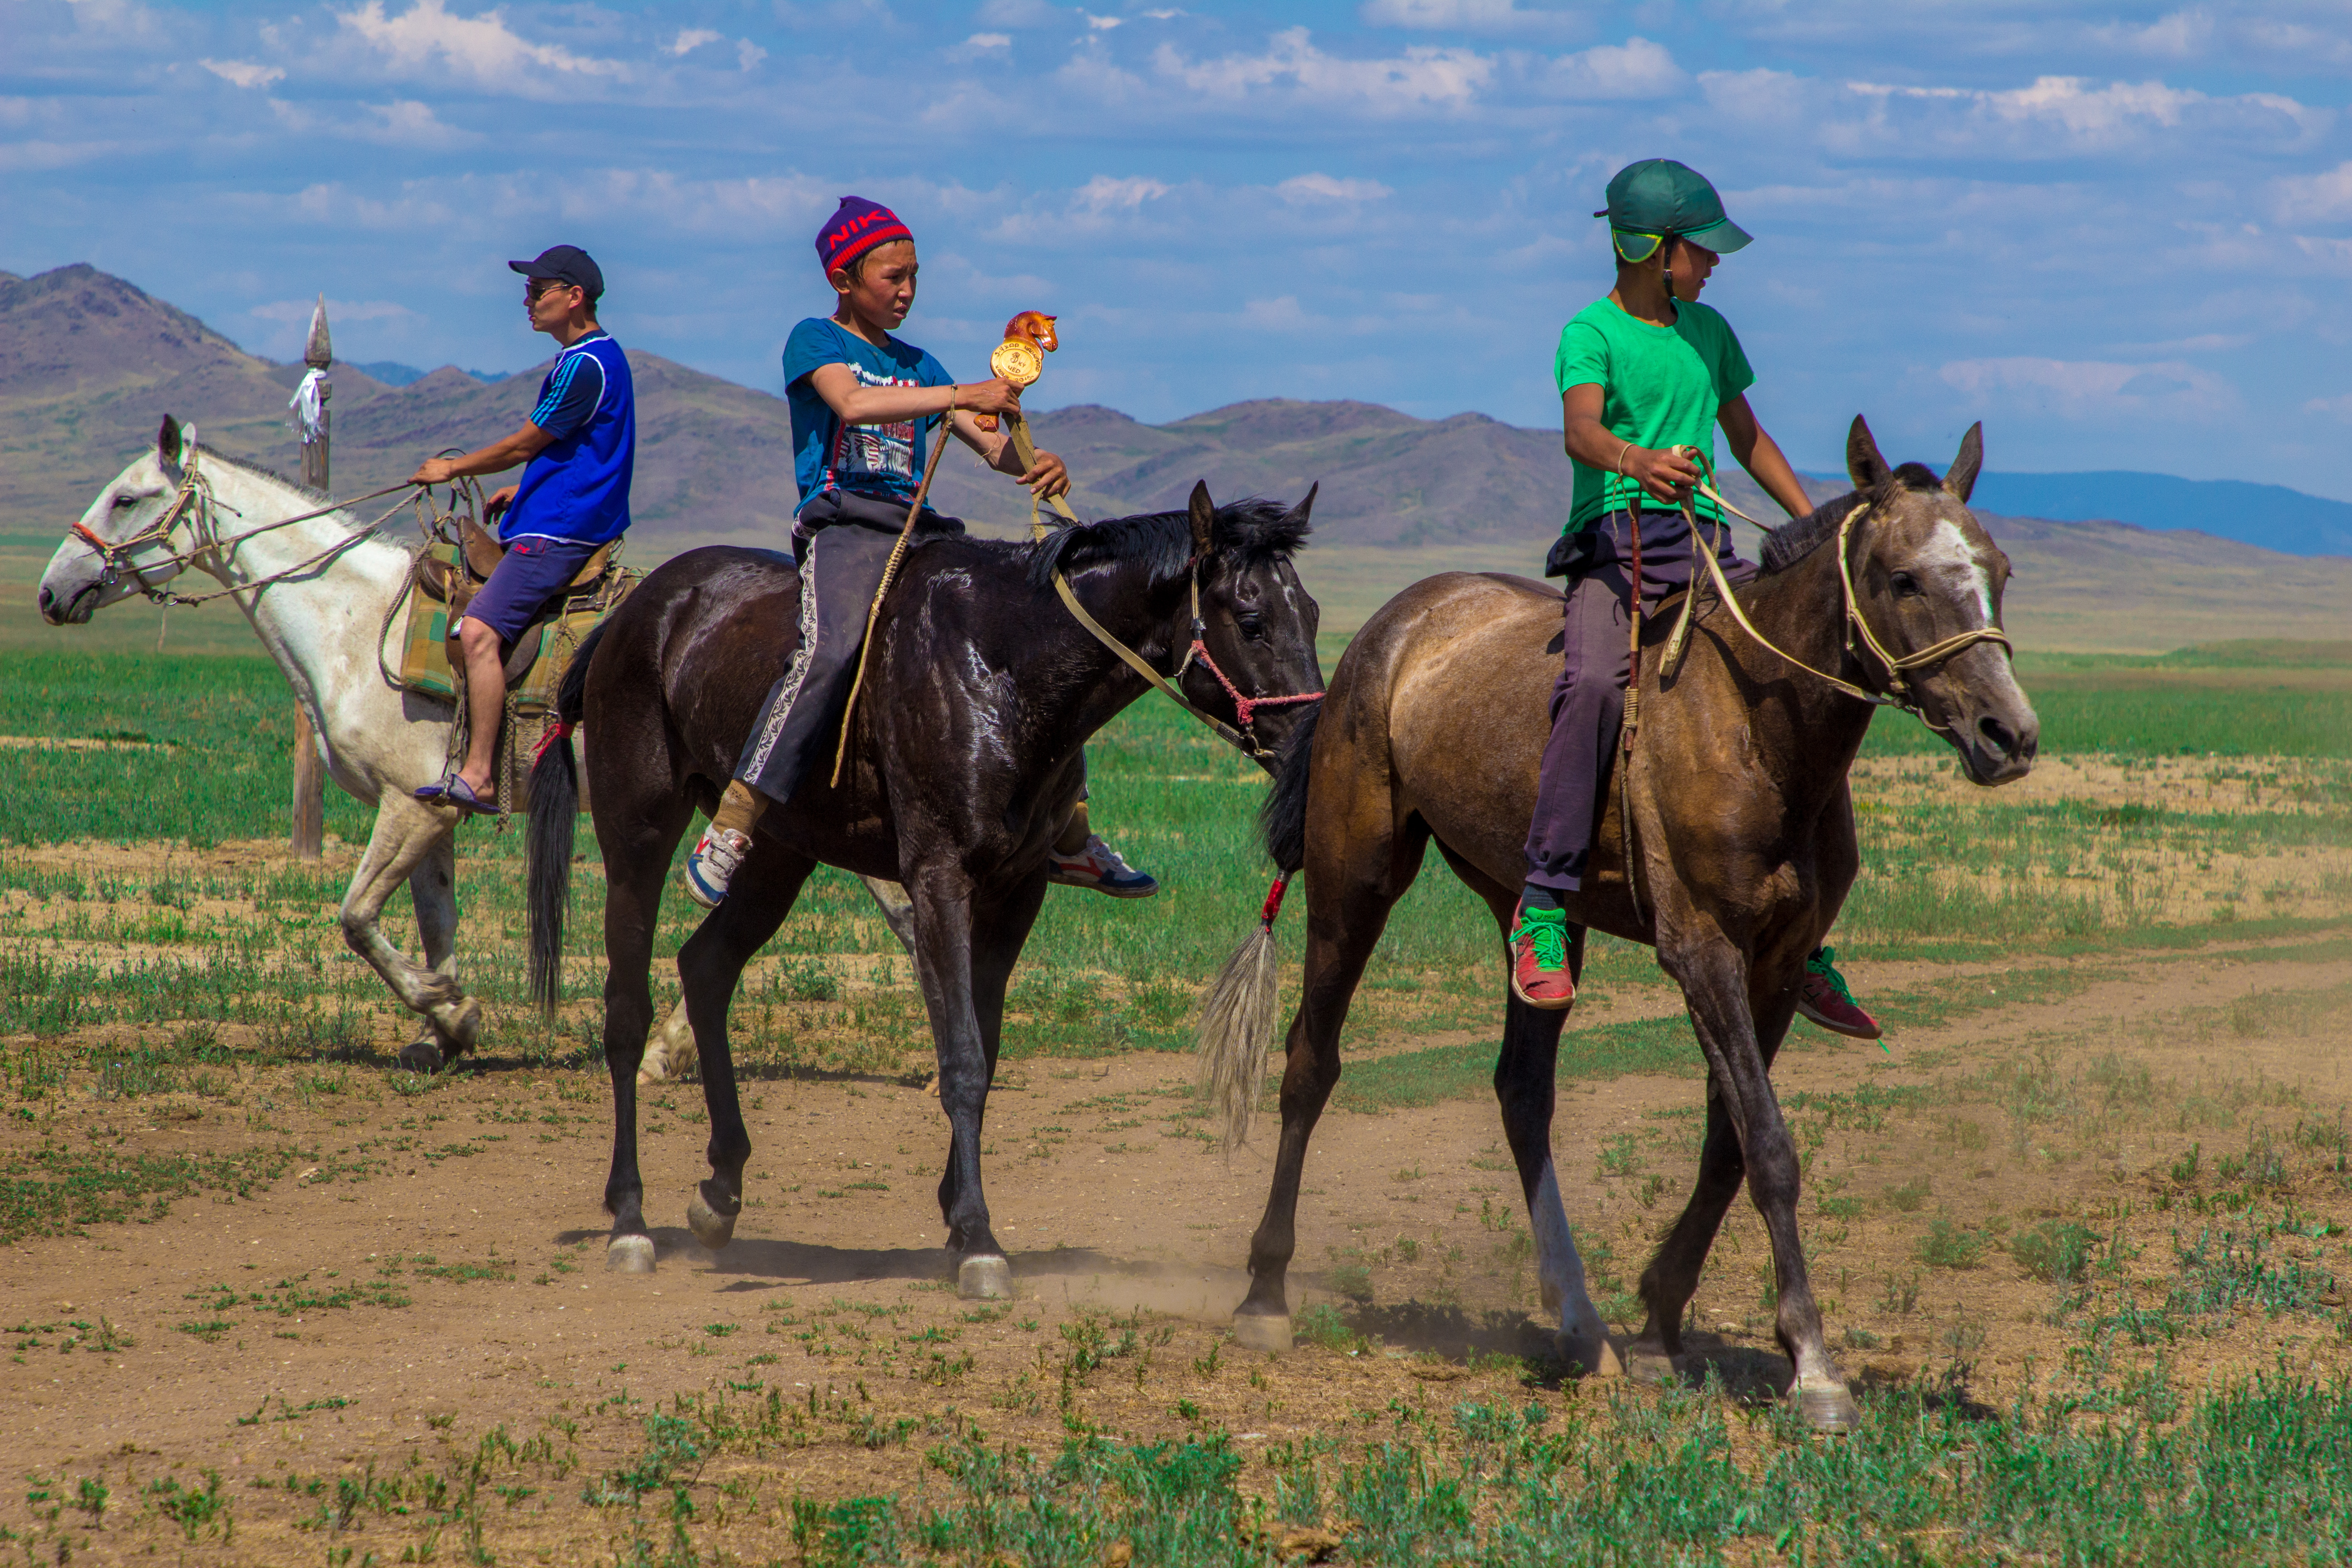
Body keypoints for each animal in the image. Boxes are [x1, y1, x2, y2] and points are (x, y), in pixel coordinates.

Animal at [46, 413, 908, 1081]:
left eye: (128, 498)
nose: (53, 593)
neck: (356, 624)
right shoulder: (432, 813)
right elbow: (435, 923)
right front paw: (443, 1034)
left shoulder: (408, 807)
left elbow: (356, 917)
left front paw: (449, 1009)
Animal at [529, 484, 1326, 1298]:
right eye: (1252, 619)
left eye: (1314, 612)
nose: (1311, 743)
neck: (1003, 669)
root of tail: (634, 614)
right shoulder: (938, 878)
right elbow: (963, 1059)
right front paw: (977, 1238)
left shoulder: (1016, 891)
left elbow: (985, 1045)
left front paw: (955, 1214)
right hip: (637, 835)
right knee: (626, 1011)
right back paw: (630, 1219)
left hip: (780, 854)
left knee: (706, 967)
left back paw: (720, 1192)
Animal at [1204, 421, 2032, 1439]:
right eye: (1903, 578)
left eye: (1998, 570)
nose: (2007, 734)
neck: (1759, 728)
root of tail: (1392, 628)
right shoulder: (1702, 950)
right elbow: (1768, 1144)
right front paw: (1813, 1366)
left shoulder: (1777, 965)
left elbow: (1729, 1143)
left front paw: (1659, 1323)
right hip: (1353, 878)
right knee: (1309, 1066)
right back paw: (1264, 1293)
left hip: (1530, 904)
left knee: (1522, 1088)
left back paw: (1578, 1320)